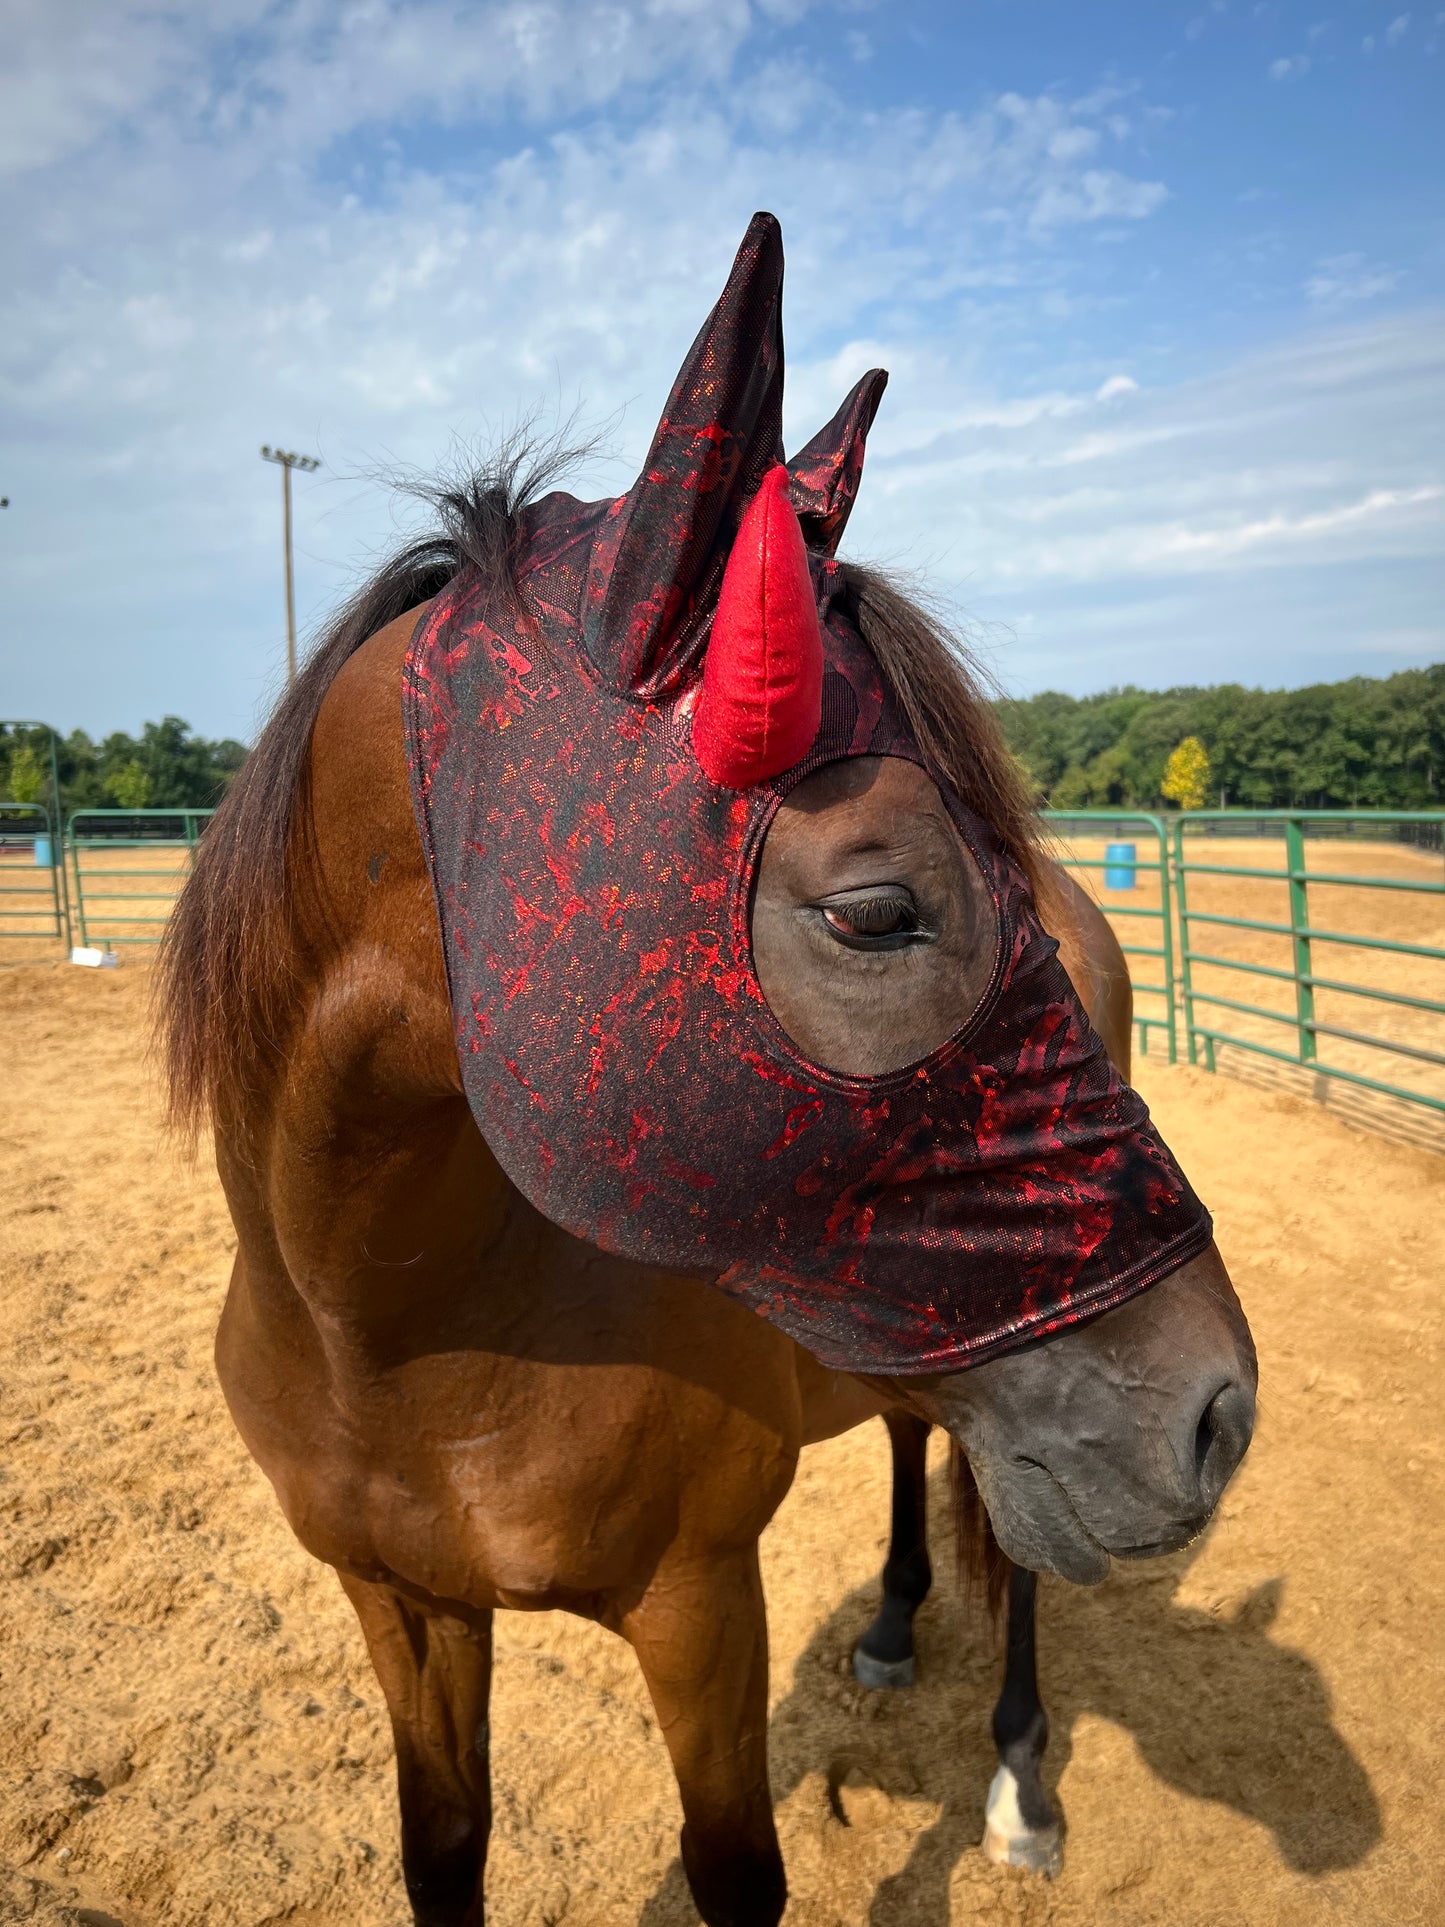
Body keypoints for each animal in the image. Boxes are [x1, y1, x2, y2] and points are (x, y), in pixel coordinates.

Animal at [158, 219, 1255, 1927]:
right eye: (874, 907)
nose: (1219, 1409)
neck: (390, 1338)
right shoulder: (402, 1607)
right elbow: (442, 1852)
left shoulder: (698, 1604)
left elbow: (736, 1870)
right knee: (912, 1430)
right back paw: (892, 1619)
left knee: (1015, 1559)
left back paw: (1017, 1777)